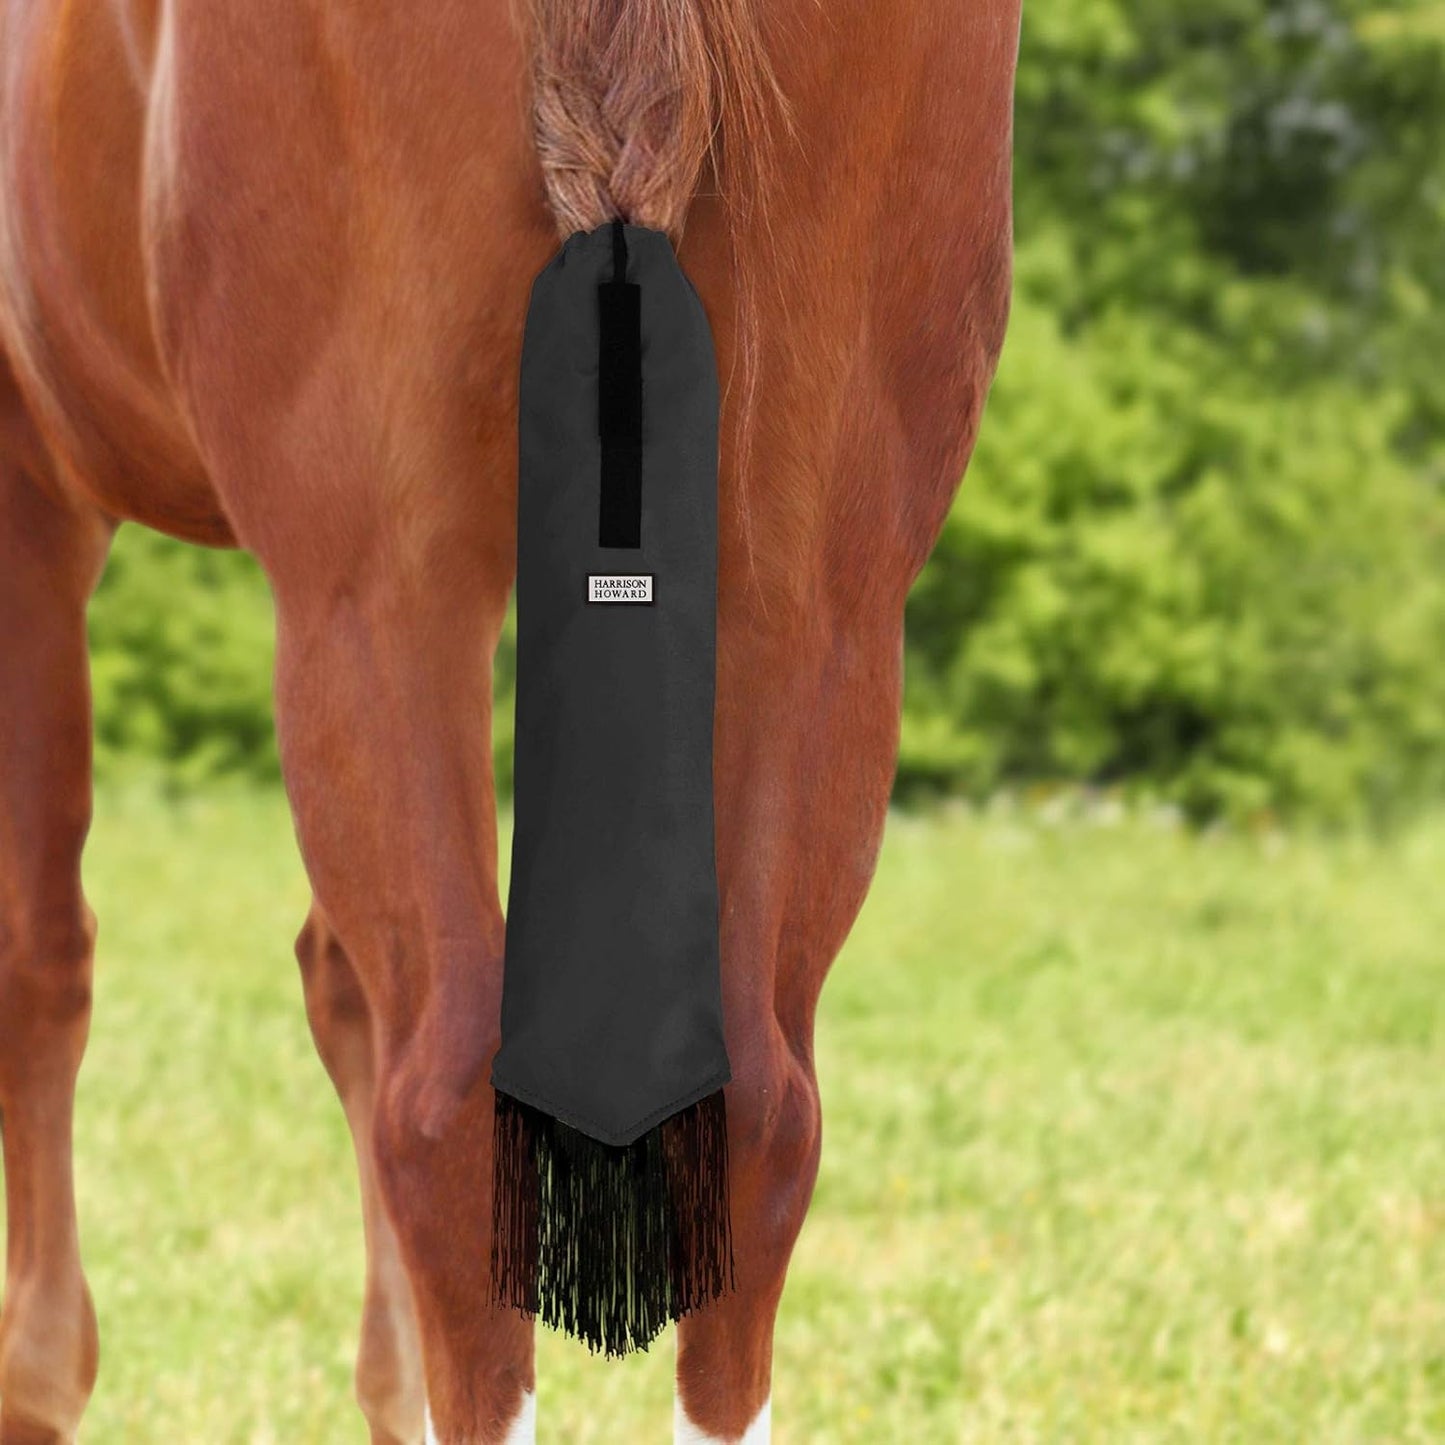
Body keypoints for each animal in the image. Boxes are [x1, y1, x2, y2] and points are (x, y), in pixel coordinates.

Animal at [0, 0, 1018, 1439]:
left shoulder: (30, 483)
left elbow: (40, 962)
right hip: (815, 596)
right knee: (755, 1114)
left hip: (379, 585)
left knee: (440, 1111)